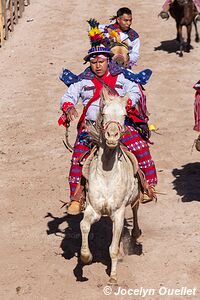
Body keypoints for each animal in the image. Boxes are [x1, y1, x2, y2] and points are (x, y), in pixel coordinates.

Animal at [79, 88, 141, 284]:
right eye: (104, 113)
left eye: (124, 115)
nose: (112, 136)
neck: (107, 175)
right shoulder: (93, 209)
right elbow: (84, 226)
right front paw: (86, 257)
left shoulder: (118, 212)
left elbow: (112, 248)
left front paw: (113, 277)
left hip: (135, 199)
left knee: (134, 211)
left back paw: (135, 234)